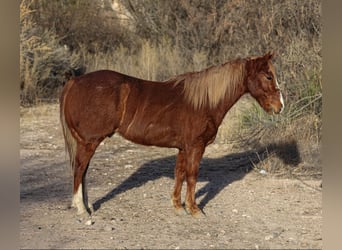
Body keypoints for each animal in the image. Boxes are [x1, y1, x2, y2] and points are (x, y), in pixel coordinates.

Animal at [60, 50, 284, 217]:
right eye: (268, 76)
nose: (280, 106)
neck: (203, 102)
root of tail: (75, 81)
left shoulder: (183, 148)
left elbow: (180, 174)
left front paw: (177, 206)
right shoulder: (195, 147)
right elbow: (192, 176)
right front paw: (194, 209)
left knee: (83, 172)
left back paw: (87, 206)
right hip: (89, 142)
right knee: (79, 170)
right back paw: (81, 209)